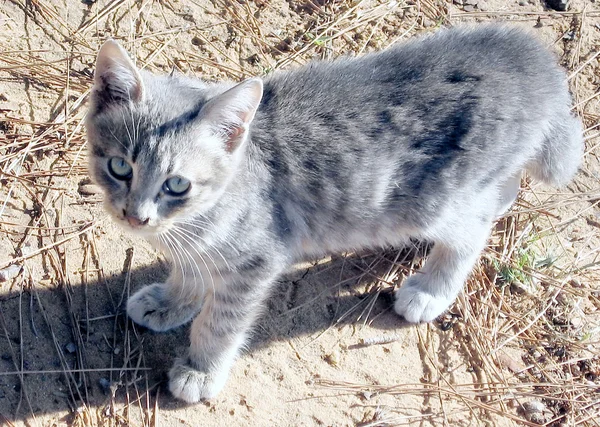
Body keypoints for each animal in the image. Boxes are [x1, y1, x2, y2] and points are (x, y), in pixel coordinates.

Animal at [84, 27, 580, 404]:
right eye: (120, 167)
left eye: (177, 185)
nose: (135, 217)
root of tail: (528, 55)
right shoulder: (195, 241)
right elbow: (190, 270)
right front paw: (172, 301)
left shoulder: (257, 259)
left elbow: (221, 322)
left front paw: (201, 369)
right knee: (499, 192)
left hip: (434, 202)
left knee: (473, 230)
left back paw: (431, 290)